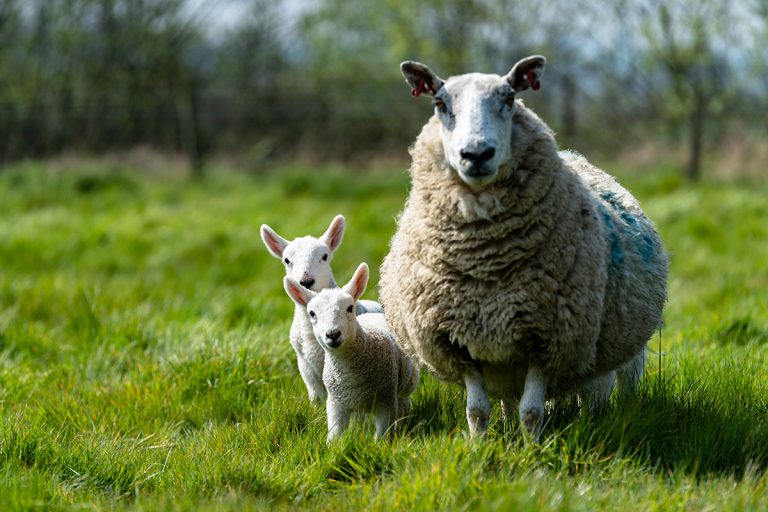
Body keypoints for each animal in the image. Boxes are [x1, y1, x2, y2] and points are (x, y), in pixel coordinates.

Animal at [284, 263, 419, 443]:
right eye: (312, 313)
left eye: (349, 308)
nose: (332, 334)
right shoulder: (335, 404)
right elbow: (334, 436)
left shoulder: (386, 401)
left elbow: (382, 437)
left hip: (405, 387)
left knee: (403, 405)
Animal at [379, 55, 668, 440]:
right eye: (440, 103)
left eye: (510, 98)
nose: (476, 154)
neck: (484, 261)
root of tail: (576, 155)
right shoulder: (457, 341)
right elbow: (476, 410)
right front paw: (480, 446)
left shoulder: (548, 340)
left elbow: (531, 411)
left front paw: (533, 449)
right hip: (505, 359)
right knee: (514, 398)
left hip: (619, 336)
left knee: (613, 382)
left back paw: (611, 416)